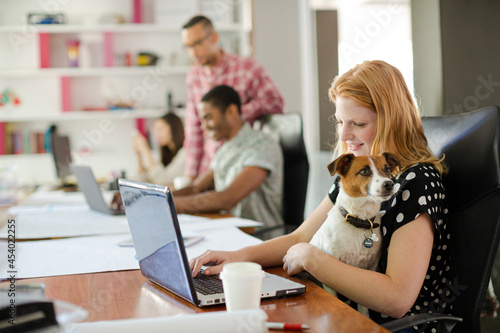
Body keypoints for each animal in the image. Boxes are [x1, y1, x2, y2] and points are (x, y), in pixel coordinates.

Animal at [310, 152, 400, 312]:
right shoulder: (328, 272)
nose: (389, 184)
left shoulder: (370, 267)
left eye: (388, 170)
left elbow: (363, 305)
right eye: (364, 171)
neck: (359, 220)